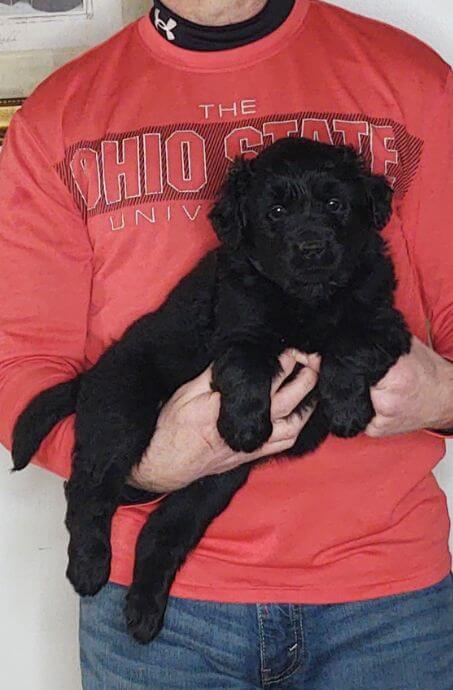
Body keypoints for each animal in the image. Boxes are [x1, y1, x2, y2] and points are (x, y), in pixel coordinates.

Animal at [10, 137, 410, 644]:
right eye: (276, 211)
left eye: (336, 204)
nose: (311, 248)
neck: (308, 298)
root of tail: (91, 373)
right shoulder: (237, 326)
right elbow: (246, 362)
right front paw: (244, 424)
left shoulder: (386, 321)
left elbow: (352, 343)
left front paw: (344, 408)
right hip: (121, 413)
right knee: (87, 490)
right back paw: (89, 567)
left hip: (213, 482)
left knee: (160, 531)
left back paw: (143, 612)